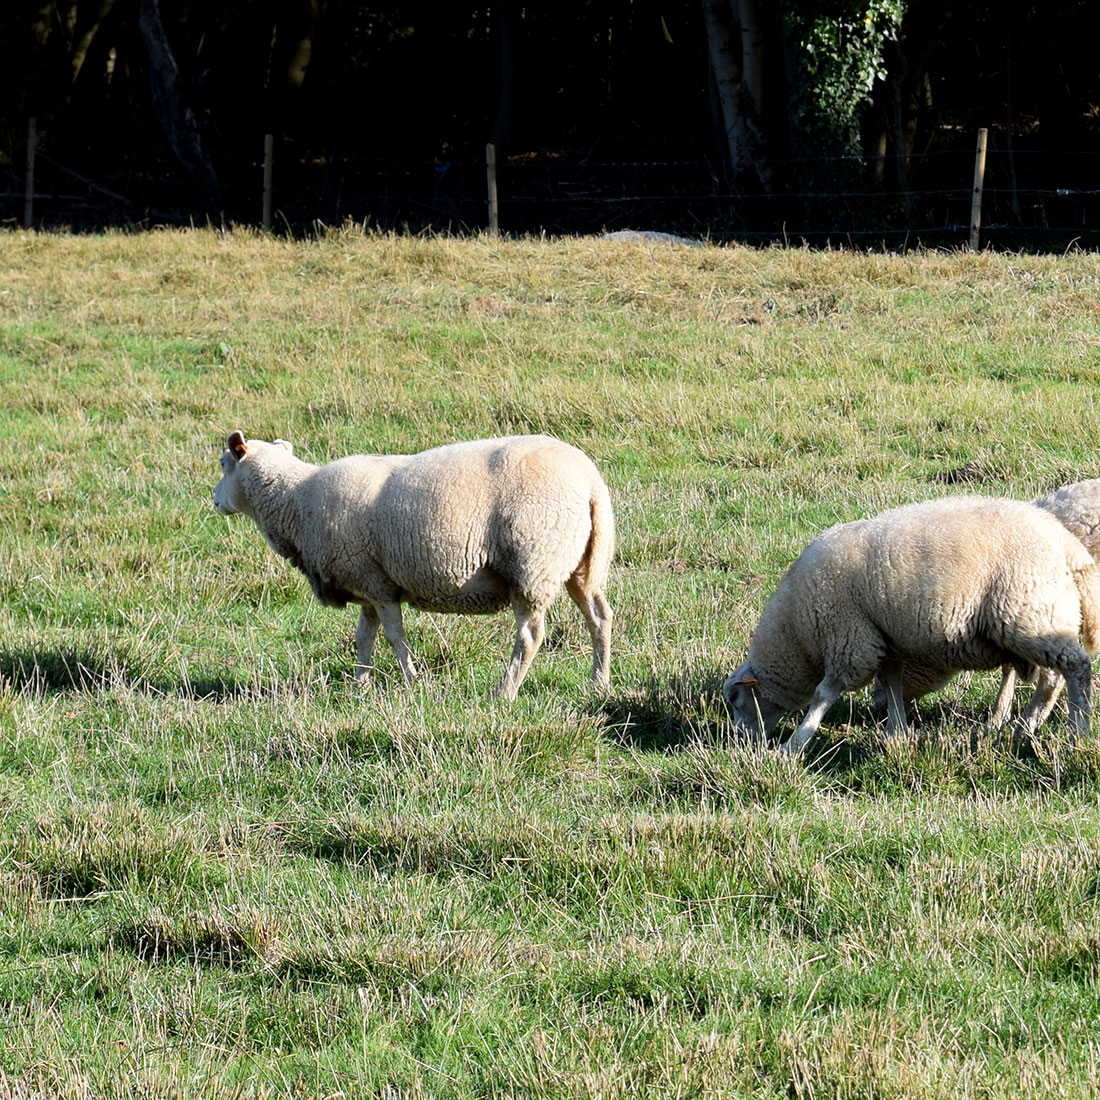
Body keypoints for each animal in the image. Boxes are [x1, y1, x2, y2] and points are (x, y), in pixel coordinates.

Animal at [210, 429, 616, 695]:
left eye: (224, 463)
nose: (214, 500)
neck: (296, 500)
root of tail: (589, 480)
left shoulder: (378, 585)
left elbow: (394, 635)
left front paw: (411, 679)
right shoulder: (368, 582)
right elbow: (364, 635)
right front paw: (360, 683)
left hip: (532, 563)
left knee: (531, 635)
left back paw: (505, 690)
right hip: (579, 563)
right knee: (599, 616)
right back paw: (598, 681)